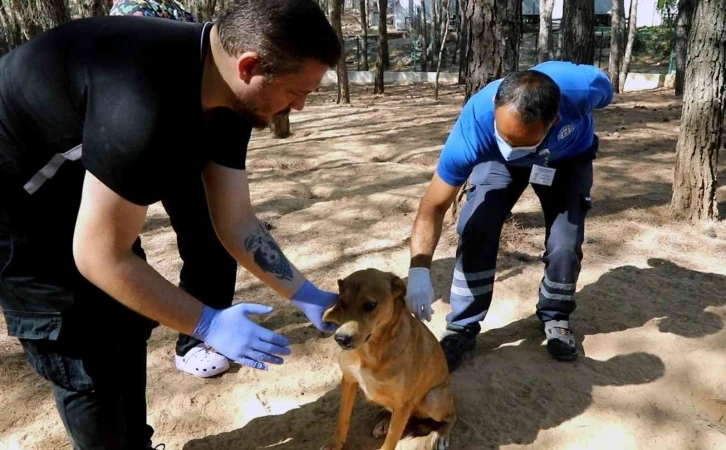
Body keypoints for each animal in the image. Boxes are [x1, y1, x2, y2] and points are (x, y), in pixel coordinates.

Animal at [322, 268, 458, 450]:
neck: (369, 351)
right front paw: (335, 444)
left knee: (452, 414)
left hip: (432, 399)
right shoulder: (349, 381)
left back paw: (441, 434)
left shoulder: (403, 403)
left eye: (370, 305)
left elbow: (392, 438)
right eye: (342, 303)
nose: (341, 339)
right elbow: (342, 419)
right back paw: (384, 422)